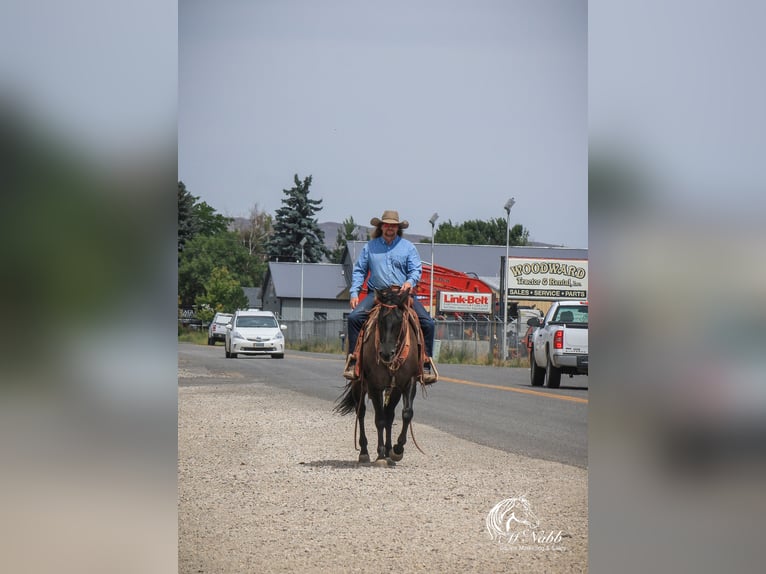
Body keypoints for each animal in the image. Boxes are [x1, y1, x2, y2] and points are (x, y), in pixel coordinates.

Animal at [332, 286, 424, 466]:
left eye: (399, 321)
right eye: (381, 320)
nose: (386, 353)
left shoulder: (406, 383)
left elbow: (405, 414)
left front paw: (396, 450)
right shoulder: (375, 385)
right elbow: (379, 419)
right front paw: (381, 455)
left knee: (389, 414)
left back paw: (388, 451)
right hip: (359, 385)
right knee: (361, 412)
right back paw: (364, 452)